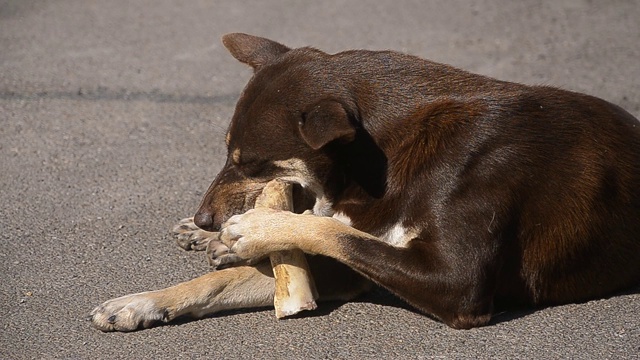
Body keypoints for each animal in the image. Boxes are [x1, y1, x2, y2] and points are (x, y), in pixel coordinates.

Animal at [90, 33, 640, 332]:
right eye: (228, 153)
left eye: (252, 163)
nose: (207, 216)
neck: (385, 159)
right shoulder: (349, 267)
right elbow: (218, 282)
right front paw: (140, 303)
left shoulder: (456, 284)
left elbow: (334, 231)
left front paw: (256, 230)